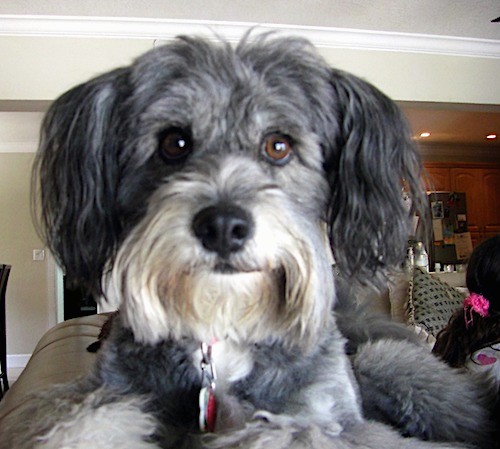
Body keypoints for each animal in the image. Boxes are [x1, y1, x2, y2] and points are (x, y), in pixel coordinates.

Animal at [0, 34, 492, 448]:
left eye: (278, 145)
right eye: (174, 142)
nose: (222, 226)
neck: (223, 327)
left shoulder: (333, 424)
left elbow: (284, 432)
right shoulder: (107, 392)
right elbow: (84, 422)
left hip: (386, 363)